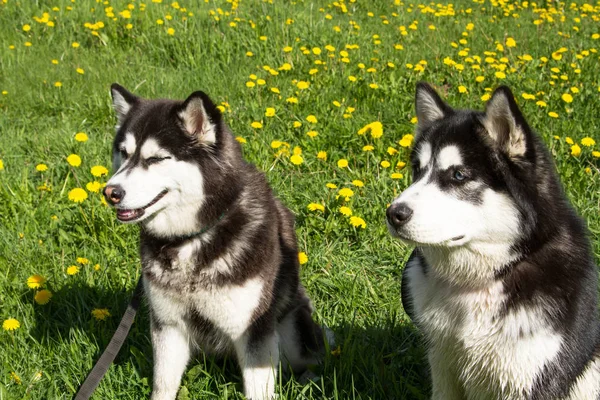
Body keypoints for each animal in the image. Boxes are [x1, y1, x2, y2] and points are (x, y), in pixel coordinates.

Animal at [103, 84, 328, 400]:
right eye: (123, 153)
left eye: (156, 159)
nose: (110, 192)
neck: (193, 238)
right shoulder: (168, 325)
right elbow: (163, 385)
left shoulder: (255, 330)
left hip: (292, 333)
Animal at [386, 83, 596, 398]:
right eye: (418, 170)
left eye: (458, 175)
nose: (393, 214)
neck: (480, 282)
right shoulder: (443, 364)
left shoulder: (532, 376)